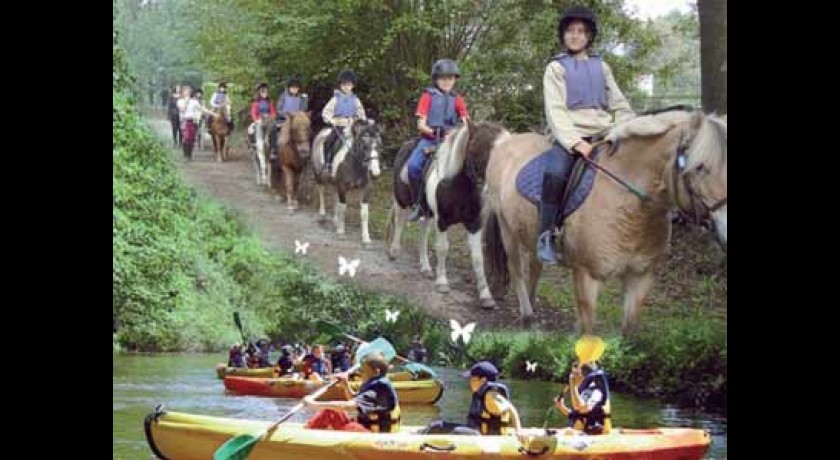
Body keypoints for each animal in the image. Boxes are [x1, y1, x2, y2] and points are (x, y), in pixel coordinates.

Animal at [384, 121, 508, 310]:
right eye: (479, 146)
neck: (459, 186)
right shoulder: (442, 221)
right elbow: (442, 249)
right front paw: (442, 282)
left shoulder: (474, 224)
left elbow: (478, 258)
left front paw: (486, 295)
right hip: (401, 201)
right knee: (399, 222)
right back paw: (394, 251)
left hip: (427, 212)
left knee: (423, 234)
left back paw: (425, 267)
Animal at [482, 110, 724, 334]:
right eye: (700, 167)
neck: (629, 209)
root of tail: (506, 140)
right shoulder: (586, 276)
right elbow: (588, 332)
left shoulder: (641, 277)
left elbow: (628, 333)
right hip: (507, 229)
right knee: (516, 270)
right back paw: (527, 316)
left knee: (535, 266)